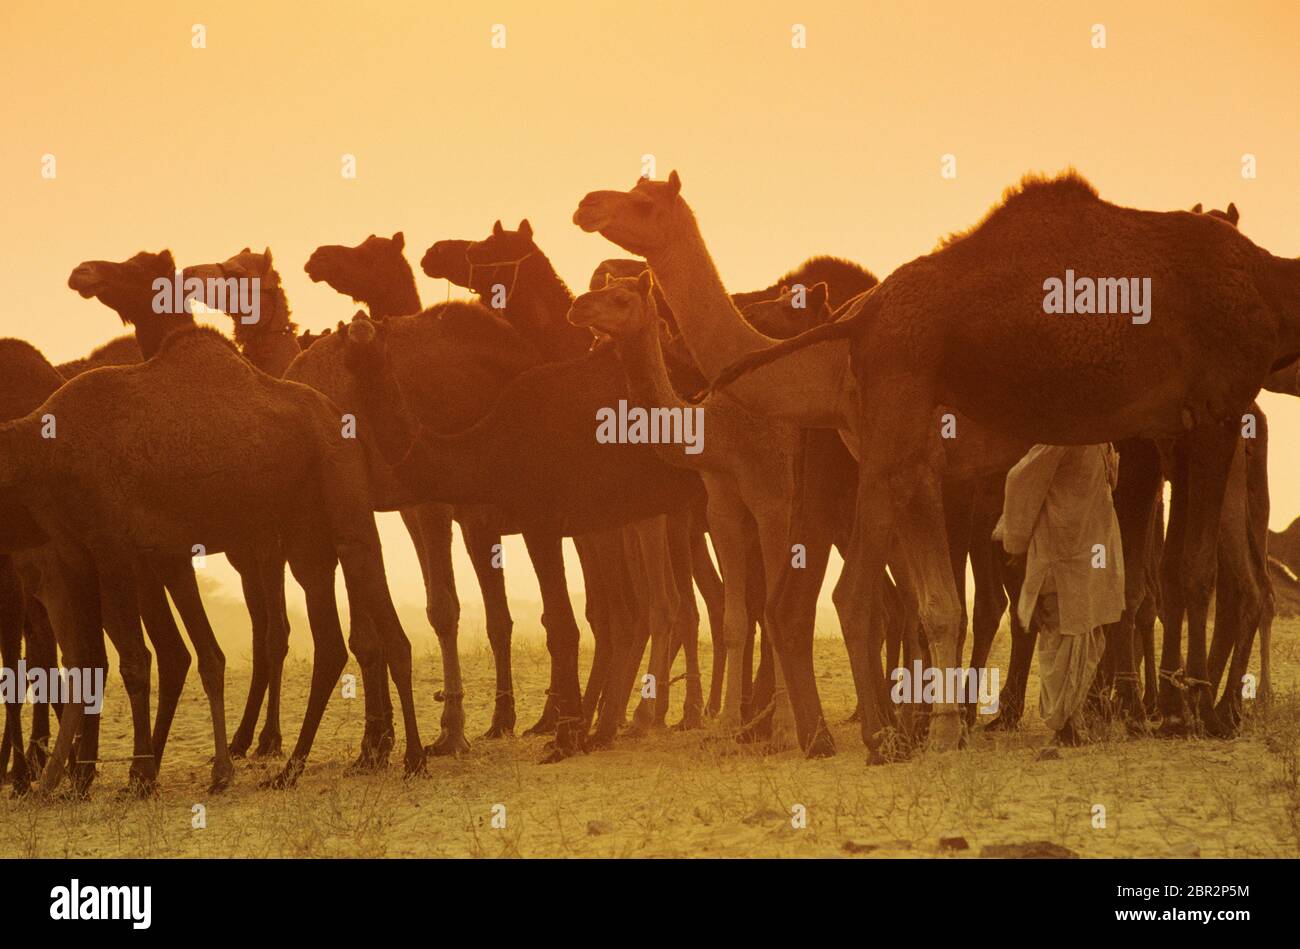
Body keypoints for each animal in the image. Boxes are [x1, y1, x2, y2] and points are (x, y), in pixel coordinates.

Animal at [681, 170, 1300, 746]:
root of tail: (860, 319)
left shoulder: (1180, 425)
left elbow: (1164, 574)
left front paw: (1169, 709)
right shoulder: (1207, 411)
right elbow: (1185, 570)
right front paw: (1181, 713)